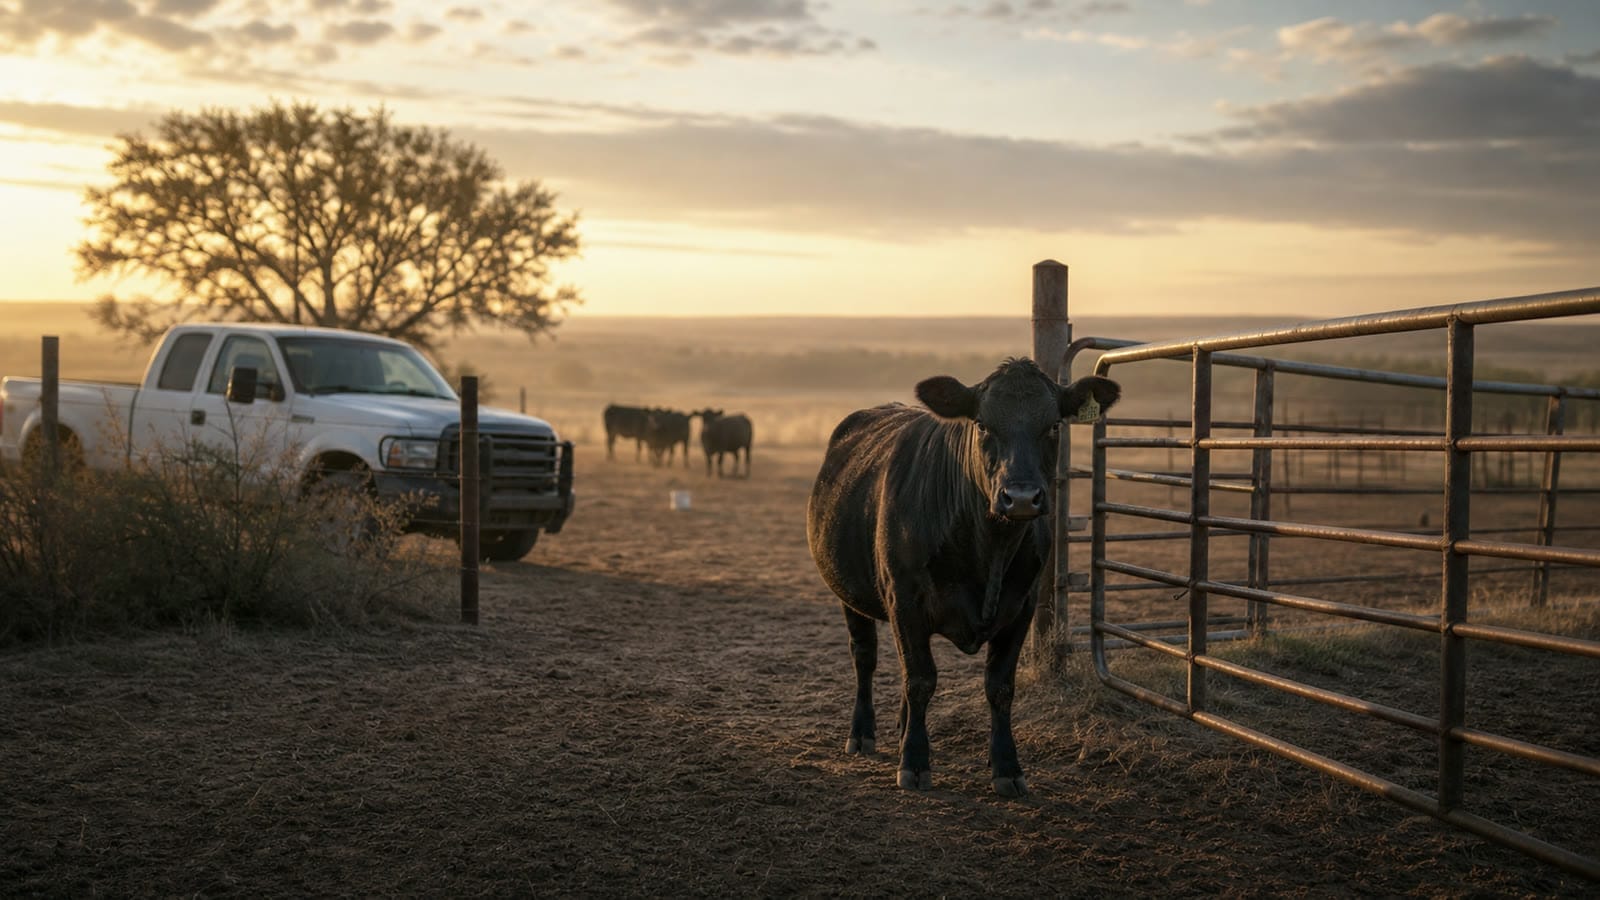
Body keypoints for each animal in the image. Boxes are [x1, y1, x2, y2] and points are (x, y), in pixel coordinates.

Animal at [806, 358, 1119, 797]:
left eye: (1055, 425)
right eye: (983, 425)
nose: (1021, 497)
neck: (989, 549)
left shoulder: (1021, 607)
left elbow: (999, 687)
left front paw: (1006, 766)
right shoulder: (904, 600)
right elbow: (920, 679)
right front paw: (914, 763)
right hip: (851, 595)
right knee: (865, 657)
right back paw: (862, 733)